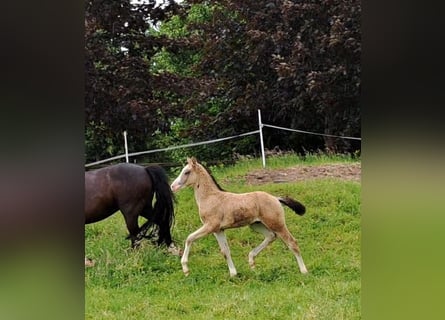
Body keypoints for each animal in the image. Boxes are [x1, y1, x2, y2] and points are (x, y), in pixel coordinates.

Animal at [171, 158, 308, 278]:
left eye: (187, 172)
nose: (173, 186)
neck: (210, 197)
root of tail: (276, 198)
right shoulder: (218, 230)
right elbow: (225, 251)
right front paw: (233, 274)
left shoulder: (210, 226)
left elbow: (189, 238)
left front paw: (185, 269)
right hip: (256, 224)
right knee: (271, 236)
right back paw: (251, 261)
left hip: (277, 224)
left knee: (292, 242)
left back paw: (304, 271)